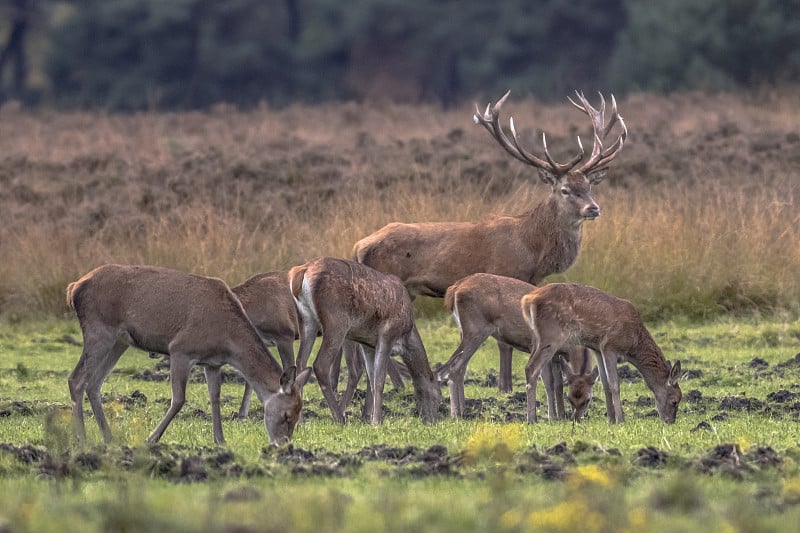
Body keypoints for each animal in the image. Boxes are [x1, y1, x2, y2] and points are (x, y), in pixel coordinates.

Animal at [65, 264, 312, 444]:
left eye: (298, 414)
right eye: (287, 416)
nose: (283, 445)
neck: (227, 339)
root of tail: (74, 287)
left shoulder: (212, 363)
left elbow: (215, 397)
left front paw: (220, 440)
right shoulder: (180, 350)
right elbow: (179, 399)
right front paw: (152, 438)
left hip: (119, 341)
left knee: (93, 383)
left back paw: (108, 437)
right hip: (99, 330)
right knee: (76, 379)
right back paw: (82, 439)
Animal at [290, 256, 440, 426]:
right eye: (438, 397)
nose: (432, 422)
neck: (406, 335)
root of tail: (301, 272)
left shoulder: (367, 343)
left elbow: (372, 378)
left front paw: (369, 417)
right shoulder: (387, 334)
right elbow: (379, 380)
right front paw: (377, 421)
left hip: (306, 321)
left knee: (300, 362)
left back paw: (300, 420)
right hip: (336, 322)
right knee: (320, 365)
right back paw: (340, 418)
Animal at [354, 89, 624, 392]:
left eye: (588, 187)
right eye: (565, 189)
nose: (594, 209)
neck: (533, 249)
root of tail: (360, 246)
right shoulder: (506, 273)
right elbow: (504, 342)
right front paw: (505, 386)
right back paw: (399, 384)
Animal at [434, 274, 596, 420]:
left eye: (588, 398)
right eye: (571, 398)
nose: (577, 418)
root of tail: (454, 289)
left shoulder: (556, 355)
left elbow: (558, 385)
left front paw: (560, 415)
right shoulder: (541, 346)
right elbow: (549, 383)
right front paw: (553, 417)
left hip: (465, 332)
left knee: (459, 368)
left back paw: (463, 411)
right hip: (476, 330)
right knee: (454, 368)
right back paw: (455, 414)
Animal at [520, 282, 684, 424]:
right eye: (674, 401)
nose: (670, 421)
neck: (633, 344)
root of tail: (527, 300)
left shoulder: (597, 348)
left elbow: (604, 383)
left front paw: (610, 419)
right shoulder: (609, 346)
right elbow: (614, 384)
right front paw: (620, 420)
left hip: (538, 338)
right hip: (551, 335)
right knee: (531, 368)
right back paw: (531, 419)